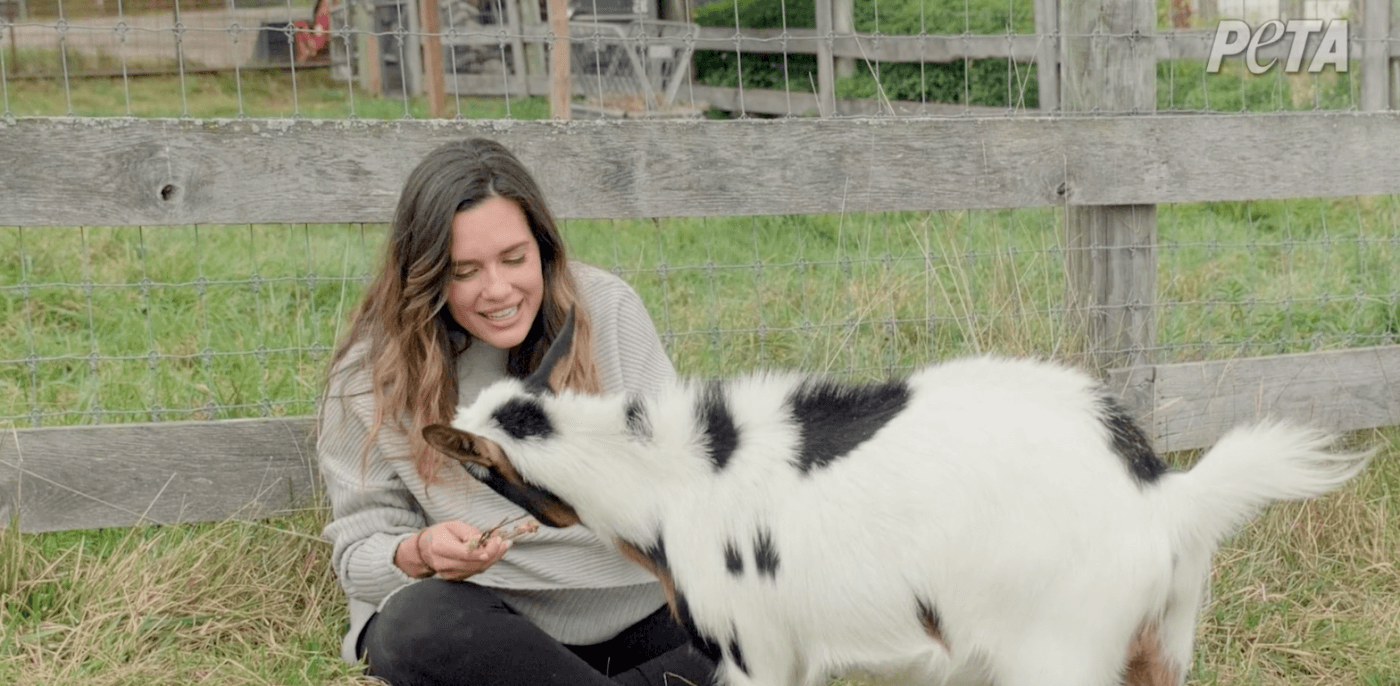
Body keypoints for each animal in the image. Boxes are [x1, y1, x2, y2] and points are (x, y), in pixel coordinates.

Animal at [420, 312, 1372, 686]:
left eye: (479, 467)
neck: (672, 482)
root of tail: (1163, 497)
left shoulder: (756, 649)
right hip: (1162, 642)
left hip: (1059, 653)